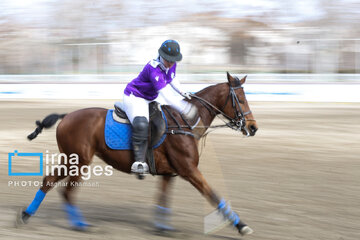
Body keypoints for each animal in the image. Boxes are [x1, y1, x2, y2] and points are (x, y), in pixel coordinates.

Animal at [17, 72, 258, 237]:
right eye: (240, 99)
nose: (253, 127)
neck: (185, 122)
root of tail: (66, 116)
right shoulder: (189, 170)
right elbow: (214, 196)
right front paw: (242, 226)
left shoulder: (169, 173)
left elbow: (162, 198)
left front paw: (162, 227)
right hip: (78, 161)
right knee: (66, 190)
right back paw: (78, 224)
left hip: (72, 160)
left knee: (50, 182)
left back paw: (27, 215)